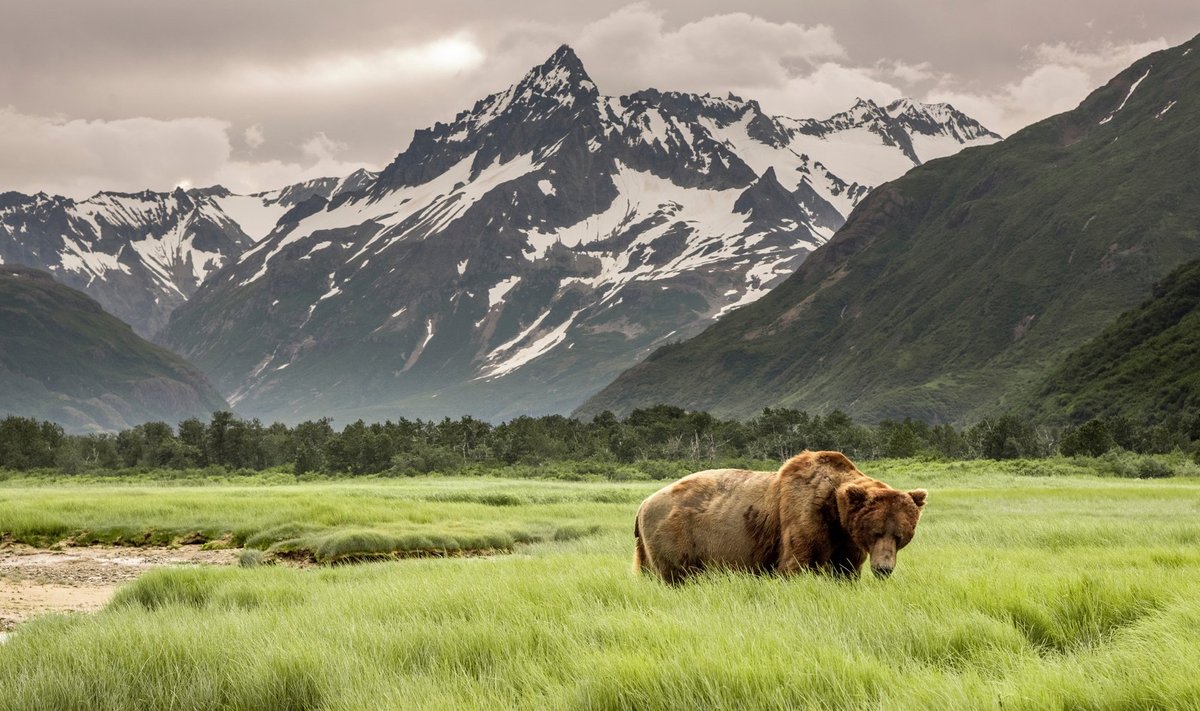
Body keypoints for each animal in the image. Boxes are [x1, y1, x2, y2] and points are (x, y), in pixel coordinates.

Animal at [638, 449, 926, 583]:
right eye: (876, 531)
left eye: (900, 535)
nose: (884, 569)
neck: (835, 512)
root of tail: (643, 504)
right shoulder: (804, 514)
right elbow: (795, 563)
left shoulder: (845, 539)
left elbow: (845, 569)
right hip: (678, 534)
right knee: (676, 575)